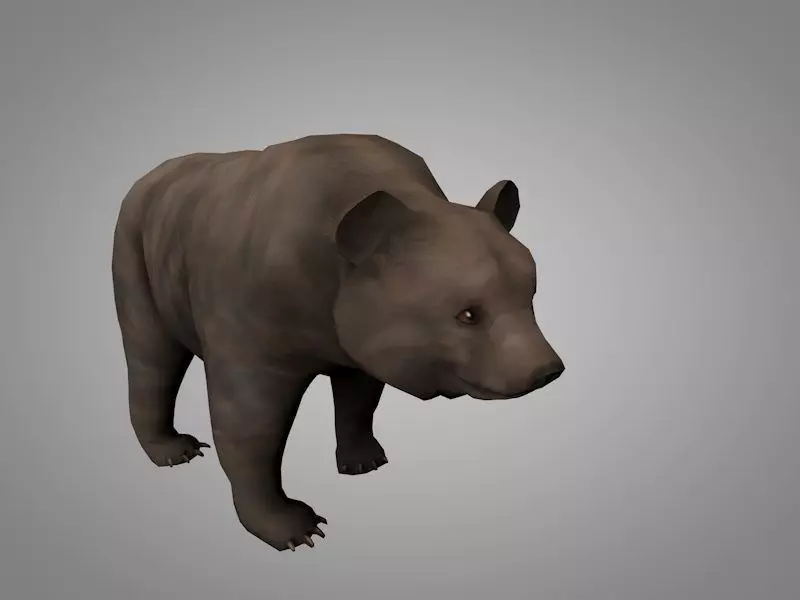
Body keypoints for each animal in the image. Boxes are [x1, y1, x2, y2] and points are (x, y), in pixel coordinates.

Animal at [111, 133, 565, 552]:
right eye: (468, 314)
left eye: (530, 296)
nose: (545, 369)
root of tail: (147, 176)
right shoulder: (248, 317)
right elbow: (250, 422)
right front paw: (294, 526)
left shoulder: (358, 328)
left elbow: (359, 394)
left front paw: (364, 459)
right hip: (137, 250)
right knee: (151, 353)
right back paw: (175, 450)